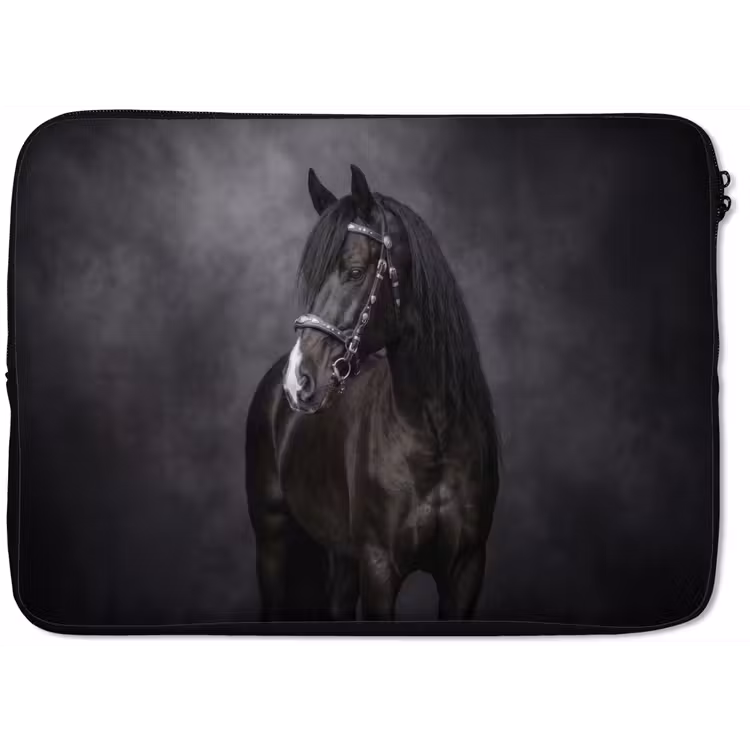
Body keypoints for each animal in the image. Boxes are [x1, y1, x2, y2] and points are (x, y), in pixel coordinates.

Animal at [245, 164, 501, 621]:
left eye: (355, 271)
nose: (298, 380)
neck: (434, 435)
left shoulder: (466, 569)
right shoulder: (380, 566)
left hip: (342, 555)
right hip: (272, 540)